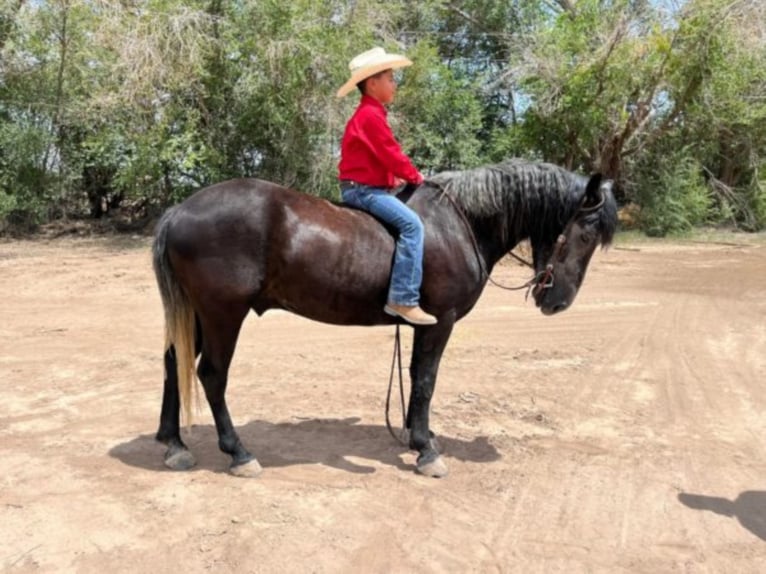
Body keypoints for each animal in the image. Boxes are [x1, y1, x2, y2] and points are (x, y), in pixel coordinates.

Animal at [152, 160, 616, 480]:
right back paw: (239, 453)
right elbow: (427, 380)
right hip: (222, 314)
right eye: (585, 234)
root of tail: (179, 211)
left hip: (196, 313)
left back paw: (173, 444)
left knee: (172, 365)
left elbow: (414, 376)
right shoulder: (441, 321)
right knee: (212, 375)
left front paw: (417, 435)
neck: (458, 224)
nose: (557, 302)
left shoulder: (424, 325)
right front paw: (426, 451)